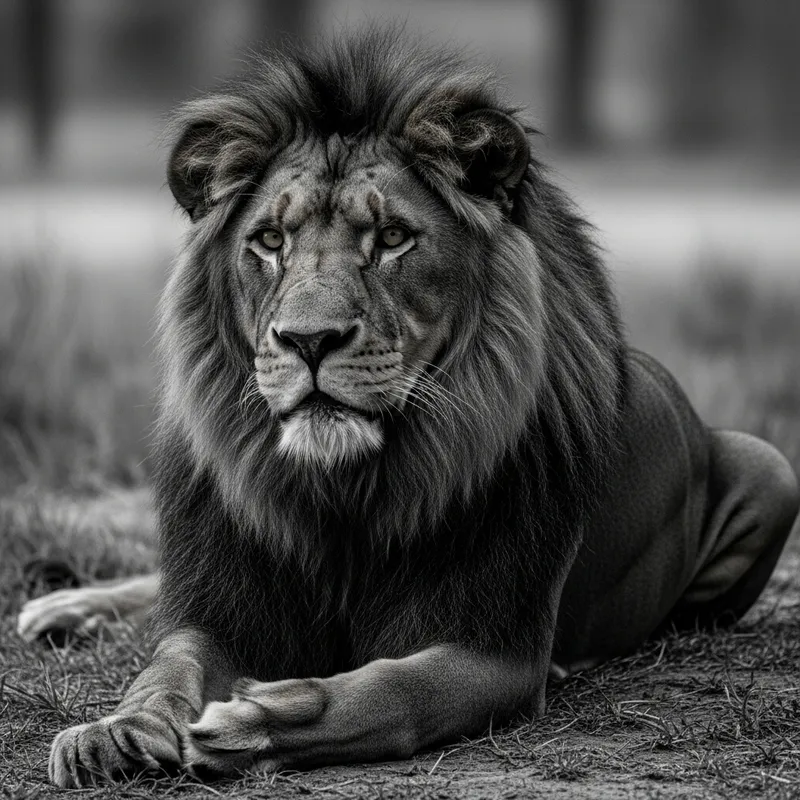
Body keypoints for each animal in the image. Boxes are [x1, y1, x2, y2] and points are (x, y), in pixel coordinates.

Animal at [29, 30, 798, 787]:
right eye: (270, 242)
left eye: (393, 237)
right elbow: (168, 663)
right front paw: (117, 731)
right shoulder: (219, 606)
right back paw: (62, 607)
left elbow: (392, 690)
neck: (343, 492)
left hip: (771, 466)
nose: (309, 340)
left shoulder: (497, 649)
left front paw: (257, 719)